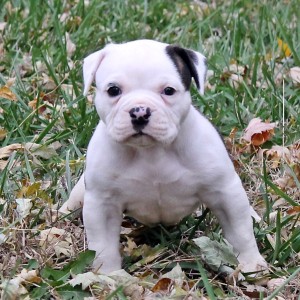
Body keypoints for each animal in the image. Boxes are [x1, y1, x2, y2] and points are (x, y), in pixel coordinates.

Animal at [59, 39, 266, 274]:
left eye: (168, 91)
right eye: (113, 90)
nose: (140, 112)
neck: (152, 151)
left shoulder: (224, 192)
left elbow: (239, 230)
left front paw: (251, 263)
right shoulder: (102, 204)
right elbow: (103, 244)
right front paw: (108, 274)